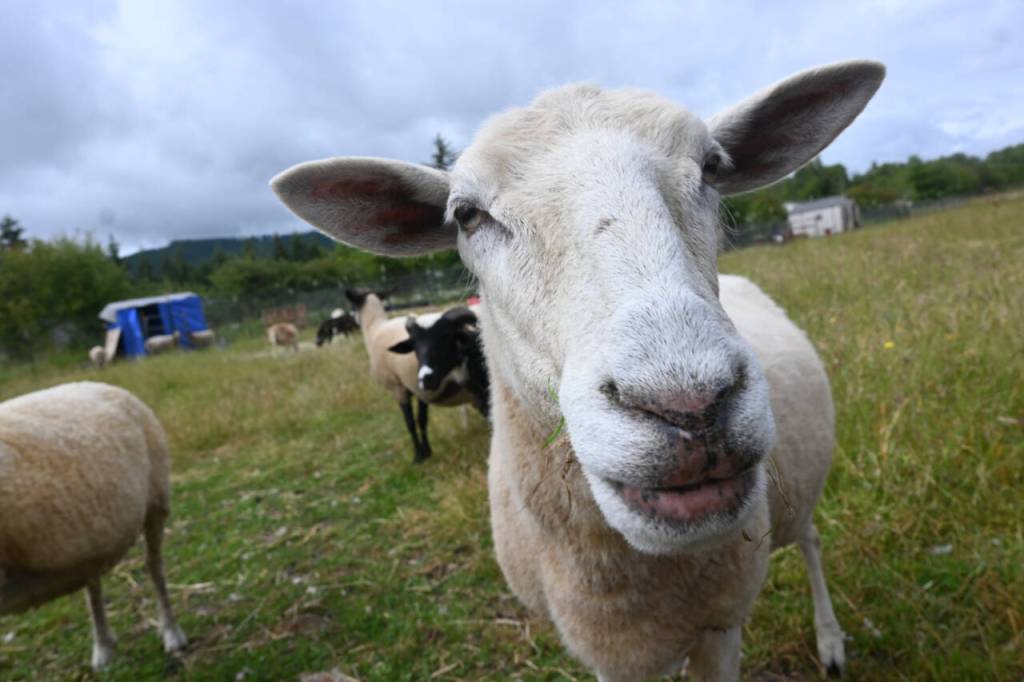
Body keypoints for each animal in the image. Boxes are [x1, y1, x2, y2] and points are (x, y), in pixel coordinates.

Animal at [0, 381, 187, 670]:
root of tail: (98, 383)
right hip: (91, 539)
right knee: (93, 584)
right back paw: (103, 646)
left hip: (157, 501)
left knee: (155, 568)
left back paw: (172, 634)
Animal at [344, 289, 477, 463]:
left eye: (354, 305)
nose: (352, 320)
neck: (374, 327)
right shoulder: (419, 390)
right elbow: (422, 420)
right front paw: (427, 451)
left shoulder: (397, 387)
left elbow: (410, 423)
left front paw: (419, 455)